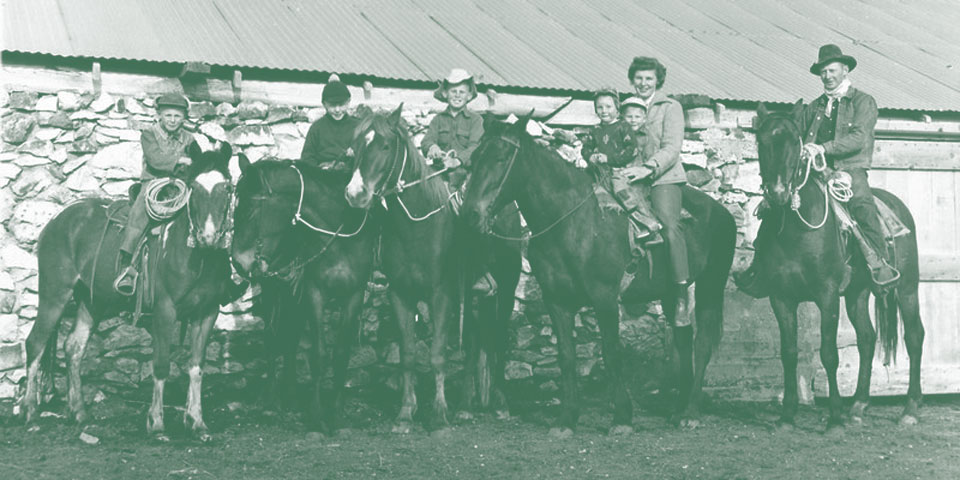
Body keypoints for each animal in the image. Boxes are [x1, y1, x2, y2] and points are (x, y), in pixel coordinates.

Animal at [23, 140, 236, 442]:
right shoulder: (164, 311)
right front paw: (156, 424)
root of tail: (57, 219)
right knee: (36, 343)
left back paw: (79, 412)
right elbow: (161, 365)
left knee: (73, 347)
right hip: (54, 294)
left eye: (227, 188)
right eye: (194, 187)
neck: (197, 257)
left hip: (91, 302)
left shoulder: (207, 313)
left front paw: (197, 422)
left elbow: (196, 367)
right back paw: (30, 412)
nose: (208, 237)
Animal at [229, 158, 376, 436]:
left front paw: (336, 415)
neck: (338, 237)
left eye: (251, 210)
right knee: (273, 339)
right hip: (275, 289)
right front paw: (316, 418)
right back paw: (272, 398)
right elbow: (318, 354)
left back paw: (291, 395)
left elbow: (341, 353)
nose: (238, 263)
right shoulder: (314, 293)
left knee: (291, 338)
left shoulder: (353, 295)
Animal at [344, 107, 520, 434]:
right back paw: (465, 407)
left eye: (385, 146)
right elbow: (408, 355)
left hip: (507, 287)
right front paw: (405, 414)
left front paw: (438, 416)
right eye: (357, 145)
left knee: (497, 338)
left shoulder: (441, 296)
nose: (355, 194)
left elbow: (438, 355)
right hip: (471, 298)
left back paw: (500, 403)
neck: (417, 227)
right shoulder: (400, 295)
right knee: (474, 343)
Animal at [458, 115, 736, 436]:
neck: (572, 221)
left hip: (710, 287)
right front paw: (566, 419)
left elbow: (611, 352)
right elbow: (566, 356)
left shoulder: (605, 299)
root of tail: (723, 213)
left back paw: (691, 412)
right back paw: (678, 409)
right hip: (671, 293)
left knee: (702, 344)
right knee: (683, 336)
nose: (470, 214)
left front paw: (622, 417)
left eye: (501, 158)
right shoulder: (557, 301)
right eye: (474, 159)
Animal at [752, 103, 924, 434]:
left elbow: (829, 354)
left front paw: (833, 419)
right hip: (858, 293)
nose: (778, 192)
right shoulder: (781, 297)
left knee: (914, 336)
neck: (796, 230)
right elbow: (789, 354)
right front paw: (787, 416)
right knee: (868, 339)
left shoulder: (827, 295)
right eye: (761, 142)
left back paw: (910, 409)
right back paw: (857, 407)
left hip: (907, 289)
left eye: (795, 143)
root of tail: (896, 205)